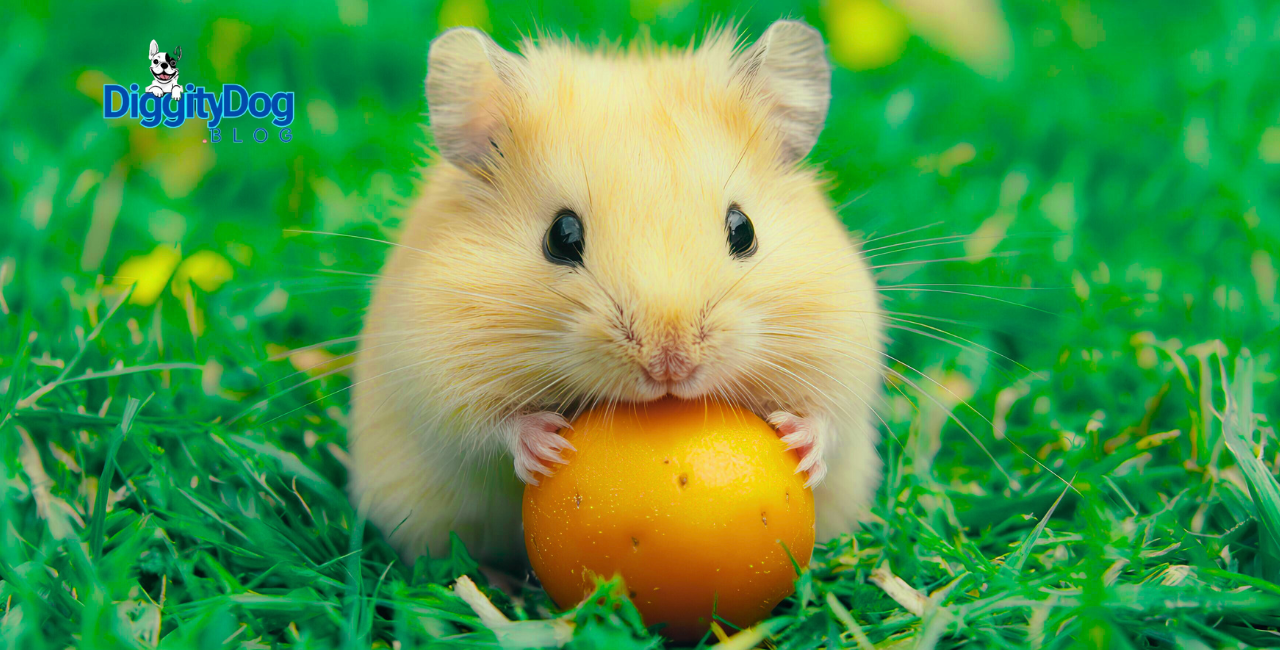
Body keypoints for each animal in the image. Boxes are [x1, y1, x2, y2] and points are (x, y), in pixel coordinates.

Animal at [348, 20, 886, 566]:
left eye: (744, 229)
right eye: (561, 236)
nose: (670, 365)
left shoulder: (844, 348)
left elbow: (829, 415)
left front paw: (799, 446)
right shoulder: (436, 371)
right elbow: (486, 427)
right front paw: (549, 447)